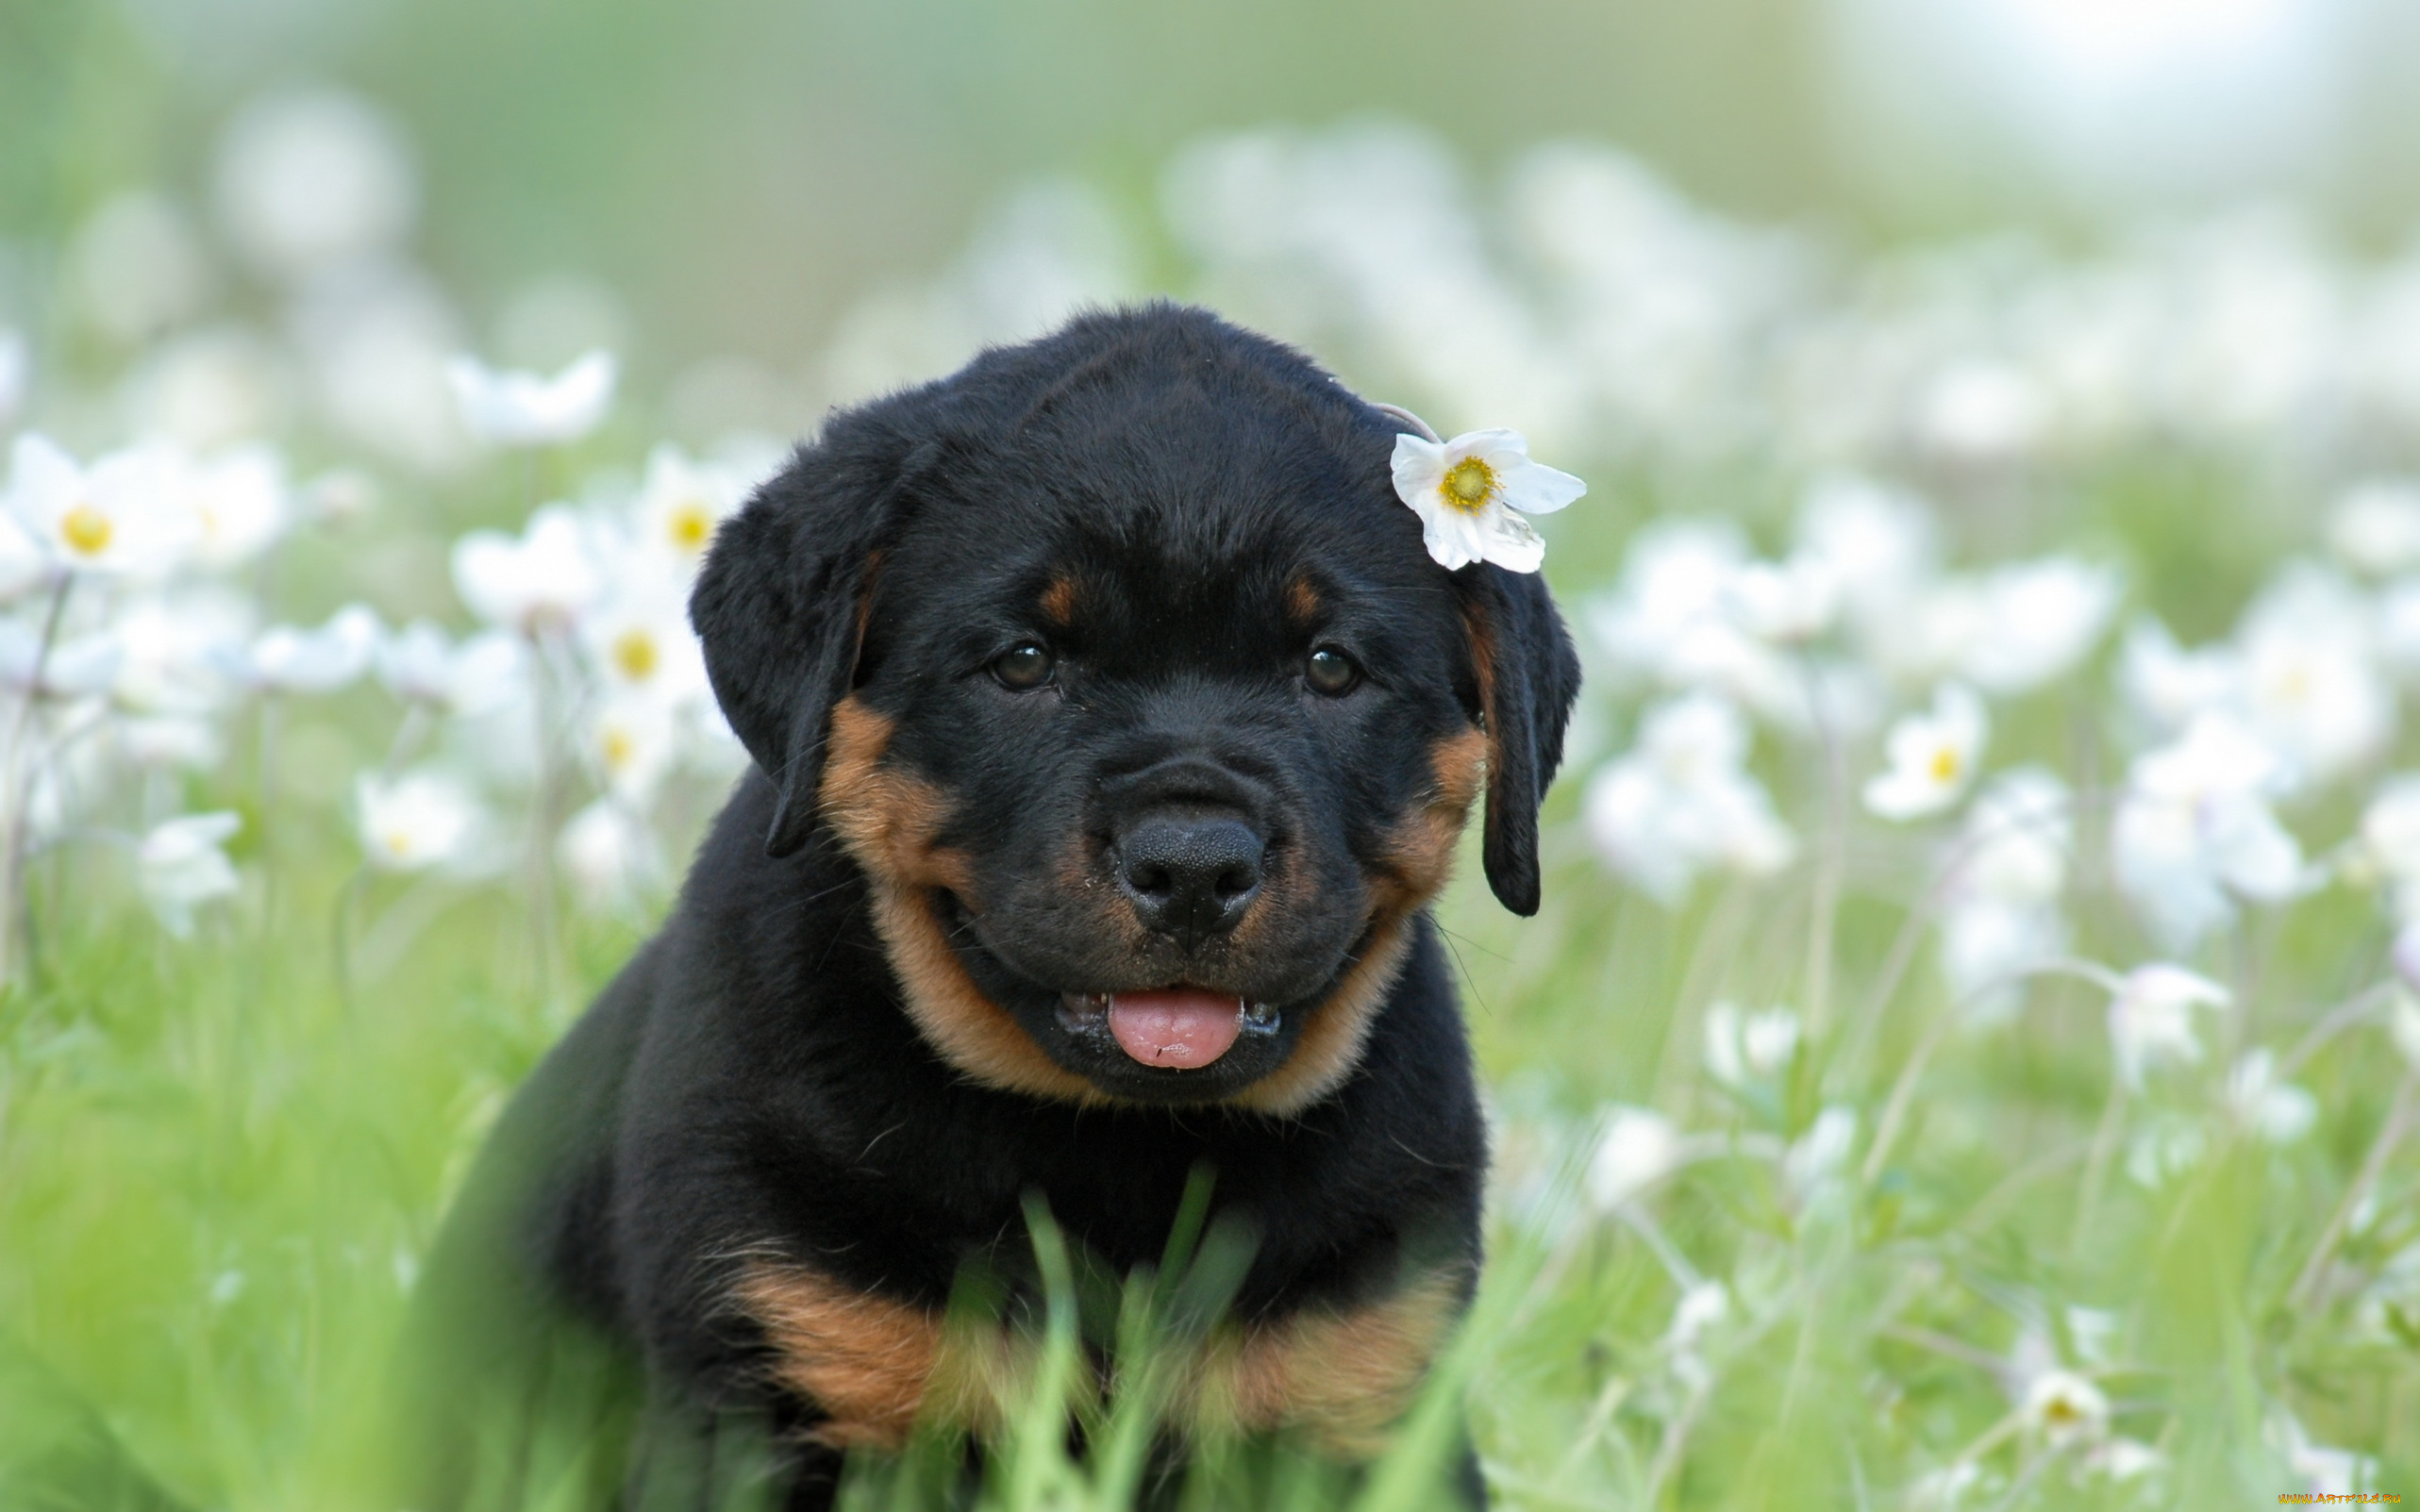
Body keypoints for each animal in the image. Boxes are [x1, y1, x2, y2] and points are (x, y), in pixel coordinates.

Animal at [411, 301, 1587, 1500]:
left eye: (1332, 667)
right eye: (1023, 661)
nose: (1193, 862)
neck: (1116, 1156)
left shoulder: (1361, 1397)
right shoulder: (766, 1380)